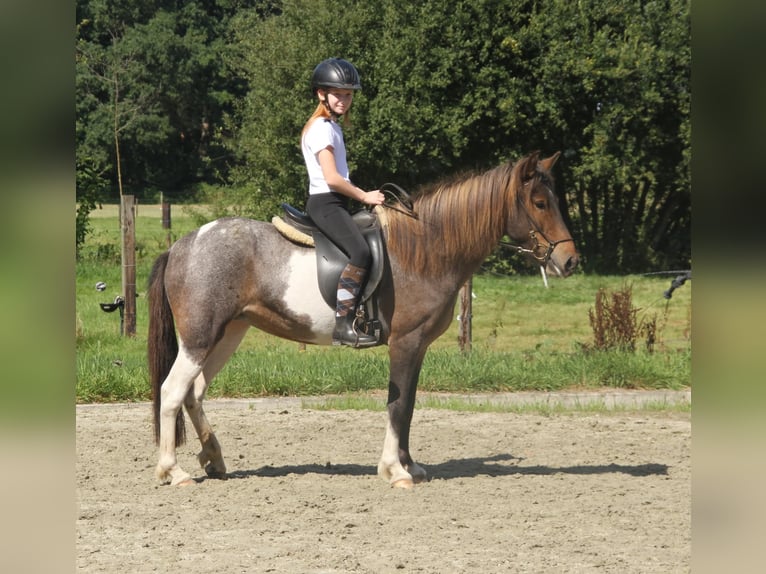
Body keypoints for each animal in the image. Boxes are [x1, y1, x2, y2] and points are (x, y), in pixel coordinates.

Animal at [147, 151, 579, 488]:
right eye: (540, 202)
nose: (570, 260)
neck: (424, 248)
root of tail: (183, 245)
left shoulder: (417, 347)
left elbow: (408, 405)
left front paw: (409, 465)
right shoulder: (406, 341)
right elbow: (397, 405)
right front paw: (395, 471)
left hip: (229, 333)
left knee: (194, 392)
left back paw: (214, 458)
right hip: (200, 338)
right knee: (172, 392)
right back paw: (173, 471)